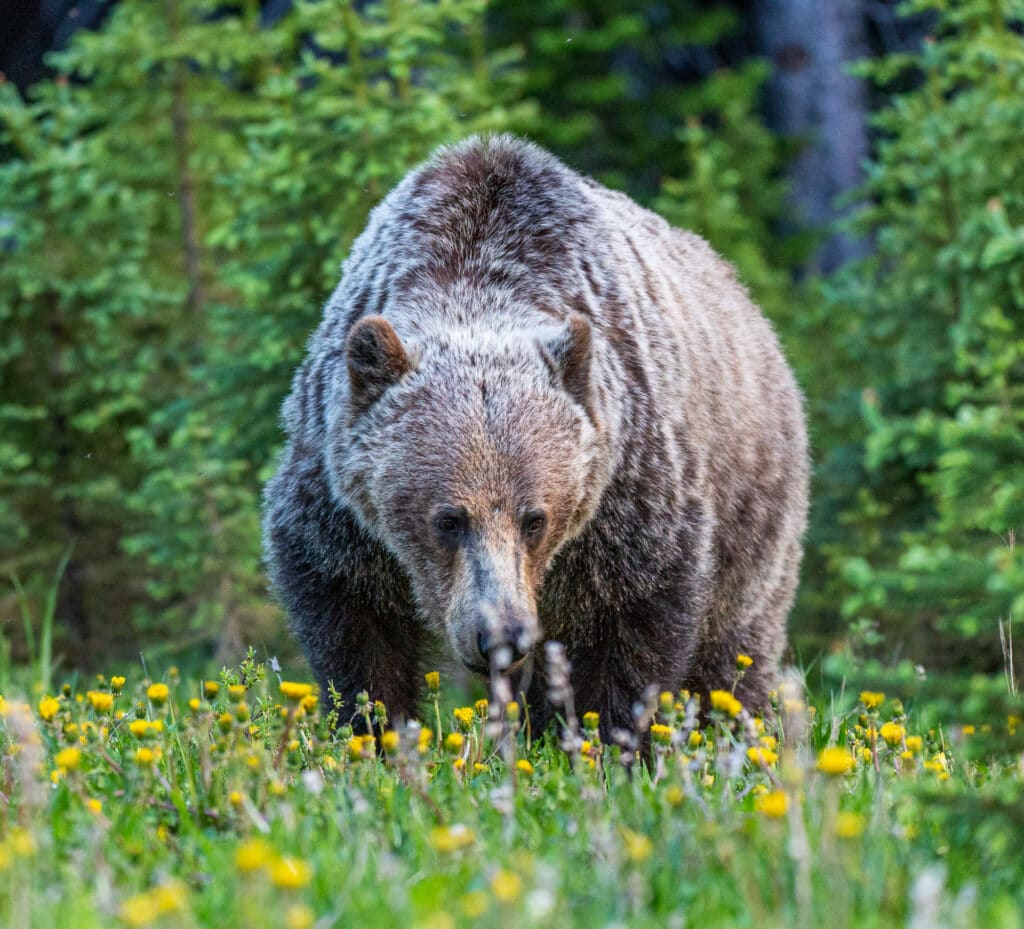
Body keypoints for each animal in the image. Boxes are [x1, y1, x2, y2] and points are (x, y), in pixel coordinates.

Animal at [264, 134, 806, 737]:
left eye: (535, 519)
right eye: (448, 519)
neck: (474, 279)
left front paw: (604, 734)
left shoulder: (625, 486)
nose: (501, 638)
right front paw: (377, 727)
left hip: (754, 499)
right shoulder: (337, 493)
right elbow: (352, 615)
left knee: (734, 643)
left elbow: (631, 616)